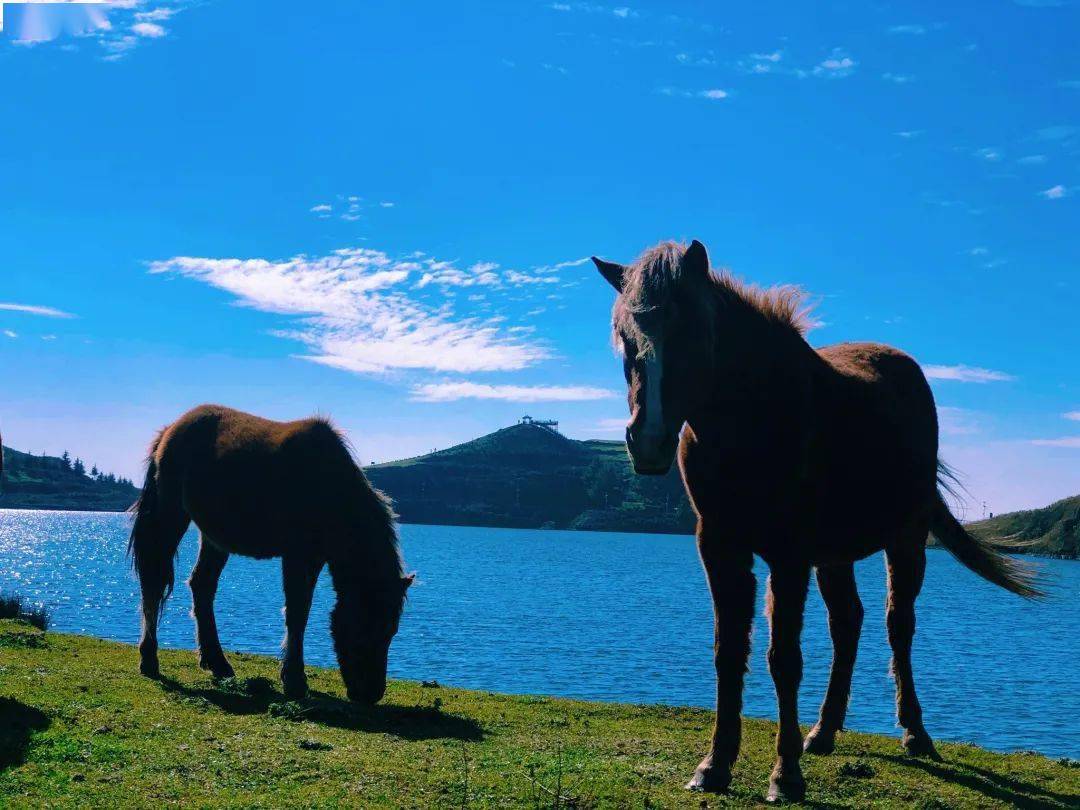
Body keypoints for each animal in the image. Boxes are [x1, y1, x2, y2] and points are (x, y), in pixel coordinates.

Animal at [127, 403, 412, 704]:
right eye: (368, 626)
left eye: (392, 630)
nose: (371, 694)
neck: (330, 487)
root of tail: (170, 429)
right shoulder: (299, 557)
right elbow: (298, 612)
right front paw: (294, 680)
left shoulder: (315, 558)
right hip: (170, 517)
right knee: (153, 583)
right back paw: (149, 660)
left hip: (214, 538)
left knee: (202, 585)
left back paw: (217, 662)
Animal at [596, 240, 1041, 807]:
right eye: (627, 342)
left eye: (693, 333)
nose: (648, 441)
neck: (750, 417)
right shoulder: (720, 546)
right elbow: (728, 652)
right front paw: (714, 765)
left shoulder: (788, 554)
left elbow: (784, 658)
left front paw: (784, 775)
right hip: (834, 555)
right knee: (848, 623)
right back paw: (824, 732)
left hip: (905, 540)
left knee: (898, 625)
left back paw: (914, 733)